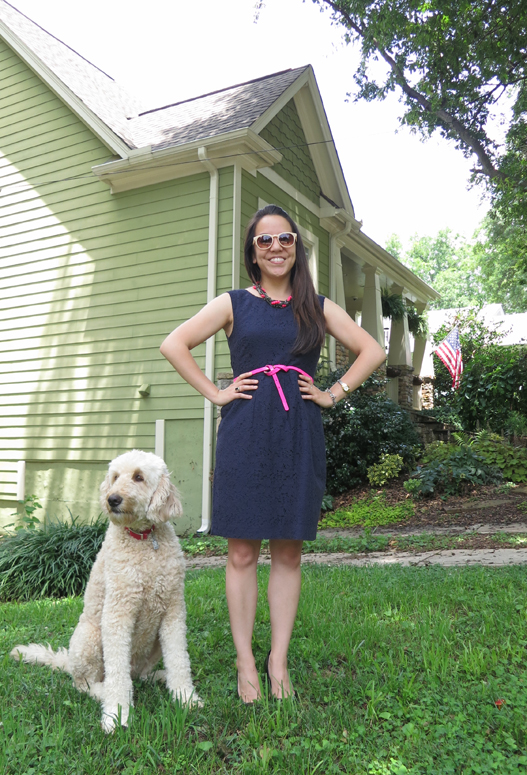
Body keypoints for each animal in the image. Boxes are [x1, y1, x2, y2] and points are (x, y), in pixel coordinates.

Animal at [12, 448, 202, 732]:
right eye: (114, 477)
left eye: (138, 477)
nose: (112, 499)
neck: (144, 540)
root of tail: (68, 662)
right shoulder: (117, 612)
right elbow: (117, 672)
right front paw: (117, 714)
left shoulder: (173, 611)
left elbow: (179, 659)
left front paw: (185, 697)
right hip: (89, 638)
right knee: (85, 684)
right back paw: (104, 691)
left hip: (152, 644)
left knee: (138, 675)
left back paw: (158, 677)